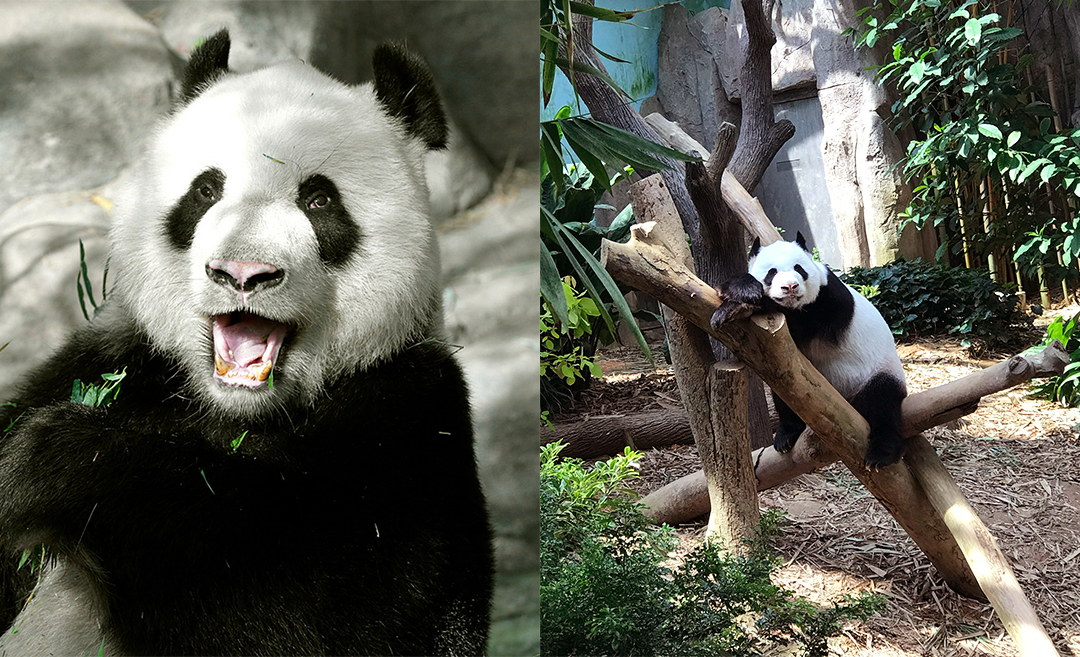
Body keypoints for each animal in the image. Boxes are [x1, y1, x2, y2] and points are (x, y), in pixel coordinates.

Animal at [1, 30, 494, 657]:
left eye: (319, 200)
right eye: (206, 190)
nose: (242, 273)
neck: (238, 410)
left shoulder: (410, 419)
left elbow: (320, 606)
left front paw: (51, 461)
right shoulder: (117, 360)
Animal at [712, 231, 907, 466]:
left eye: (799, 269)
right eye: (771, 272)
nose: (790, 287)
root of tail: (848, 403)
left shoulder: (828, 303)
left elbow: (799, 321)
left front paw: (733, 305)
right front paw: (740, 290)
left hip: (878, 371)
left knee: (883, 403)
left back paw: (881, 453)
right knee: (785, 396)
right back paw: (786, 434)